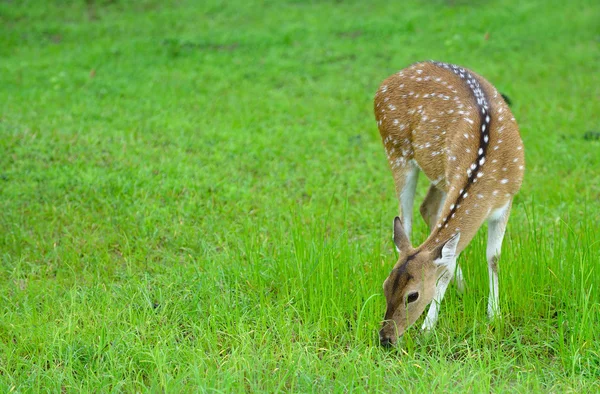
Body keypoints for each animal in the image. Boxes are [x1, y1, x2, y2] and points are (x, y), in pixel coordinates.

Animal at [376, 60, 524, 346]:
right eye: (385, 287)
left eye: (412, 295)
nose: (386, 338)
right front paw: (428, 327)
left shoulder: (508, 200)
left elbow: (493, 257)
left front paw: (494, 314)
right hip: (396, 149)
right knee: (408, 220)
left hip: (437, 174)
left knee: (427, 209)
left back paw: (463, 287)